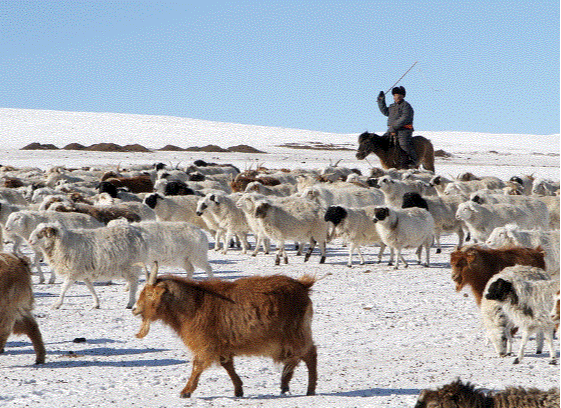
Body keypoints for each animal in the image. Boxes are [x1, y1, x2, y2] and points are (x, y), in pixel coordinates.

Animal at [131, 264, 316, 398]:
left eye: (150, 294)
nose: (134, 309)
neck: (195, 304)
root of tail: (302, 285)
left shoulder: (206, 343)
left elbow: (198, 365)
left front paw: (186, 391)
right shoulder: (222, 344)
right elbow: (227, 365)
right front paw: (238, 390)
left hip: (295, 332)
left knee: (309, 354)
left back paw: (310, 389)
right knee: (295, 358)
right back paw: (285, 384)